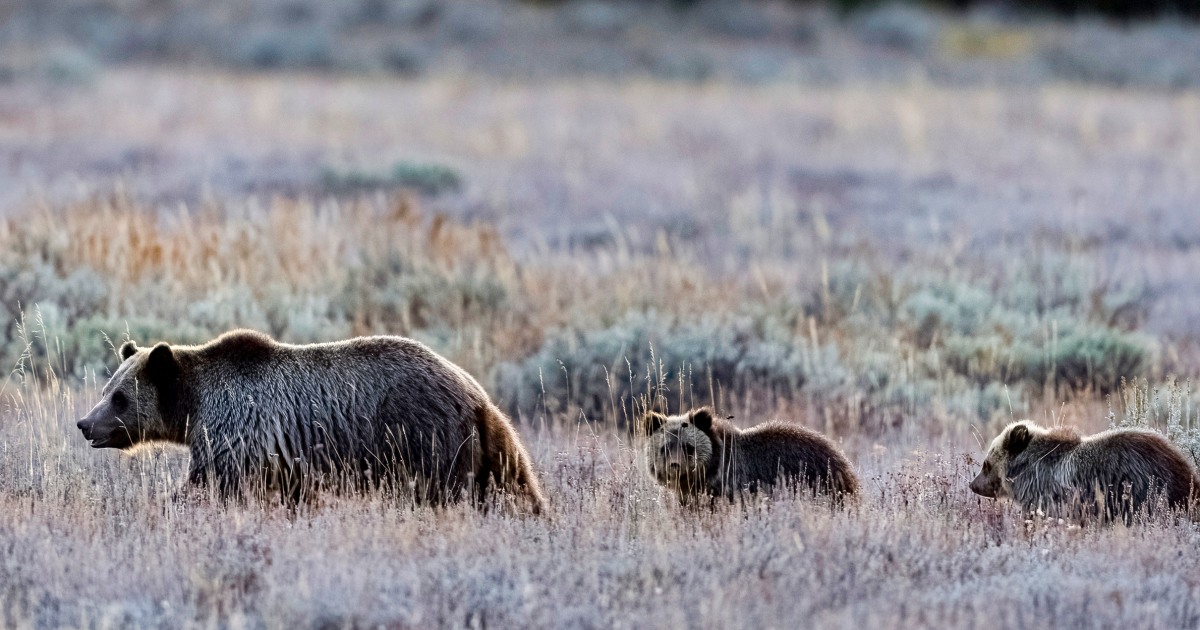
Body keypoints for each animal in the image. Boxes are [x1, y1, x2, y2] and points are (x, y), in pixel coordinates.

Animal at [76, 329, 546, 514]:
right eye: (107, 389)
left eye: (119, 397)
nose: (85, 424)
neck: (194, 406)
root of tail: (474, 392)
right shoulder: (285, 462)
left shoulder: (239, 434)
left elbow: (208, 484)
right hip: (490, 443)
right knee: (514, 484)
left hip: (423, 436)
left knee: (443, 489)